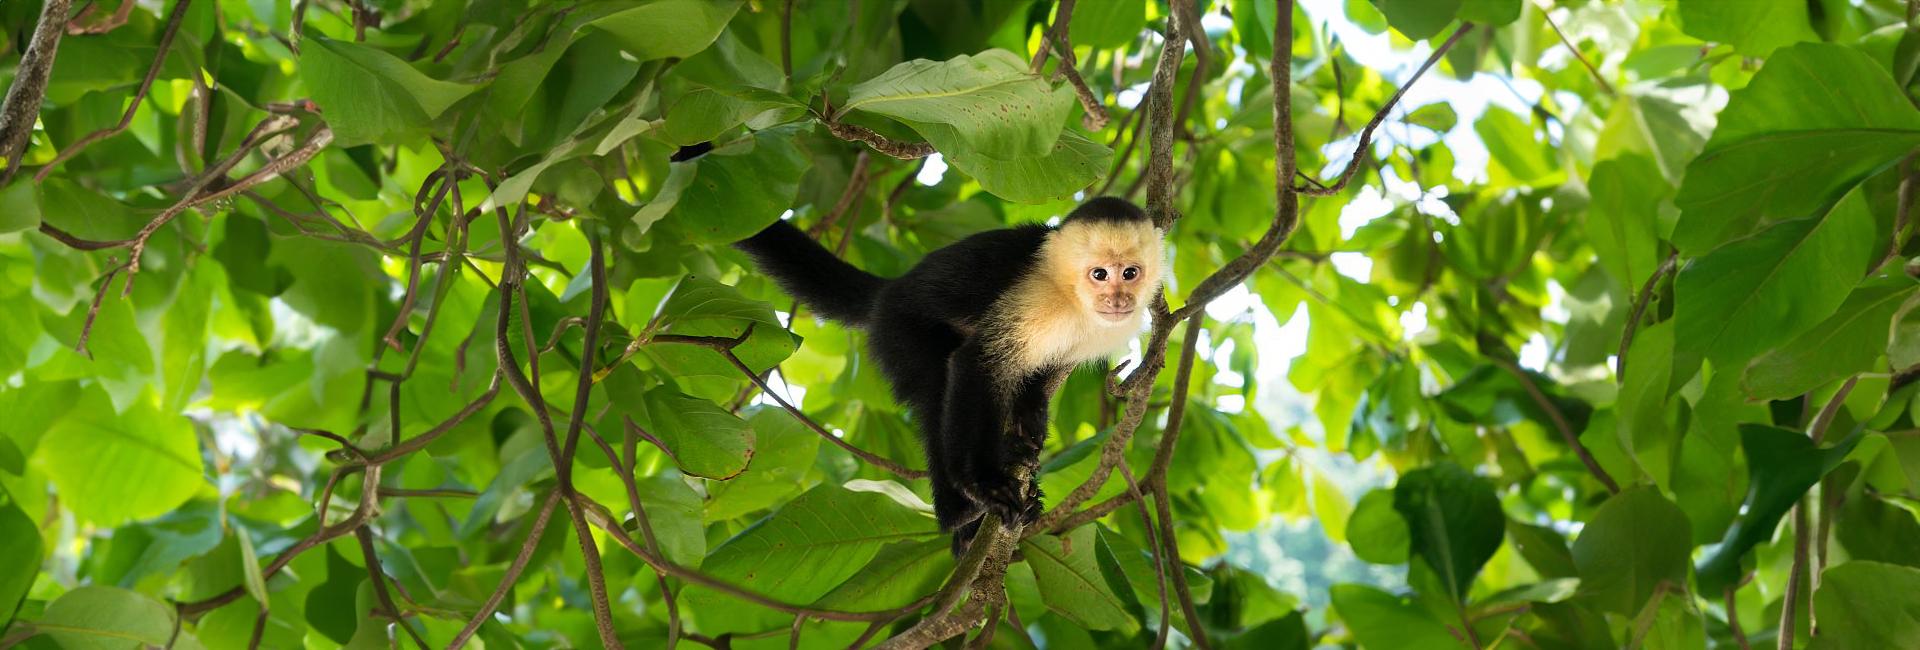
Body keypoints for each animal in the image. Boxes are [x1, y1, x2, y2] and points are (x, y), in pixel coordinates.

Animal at [734, 196, 1166, 552]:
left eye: (1130, 273)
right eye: (1099, 274)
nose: (1118, 300)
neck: (1073, 299)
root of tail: (890, 291)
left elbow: (1041, 372)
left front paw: (1029, 418)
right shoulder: (1037, 298)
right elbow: (977, 363)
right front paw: (984, 484)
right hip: (900, 330)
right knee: (937, 388)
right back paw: (960, 516)